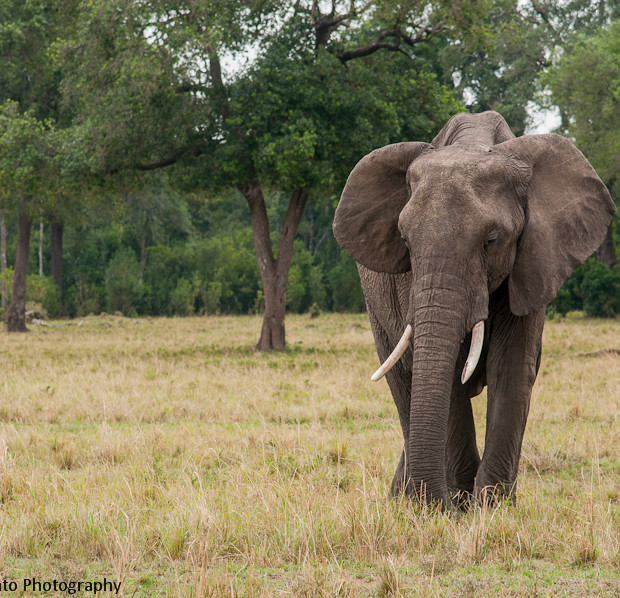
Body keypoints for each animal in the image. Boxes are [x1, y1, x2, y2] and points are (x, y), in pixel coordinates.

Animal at [334, 112, 616, 510]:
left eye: (491, 241)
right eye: (404, 240)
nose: (440, 504)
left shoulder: (534, 260)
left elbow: (512, 365)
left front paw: (493, 506)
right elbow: (447, 372)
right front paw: (456, 505)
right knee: (402, 380)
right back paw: (407, 501)